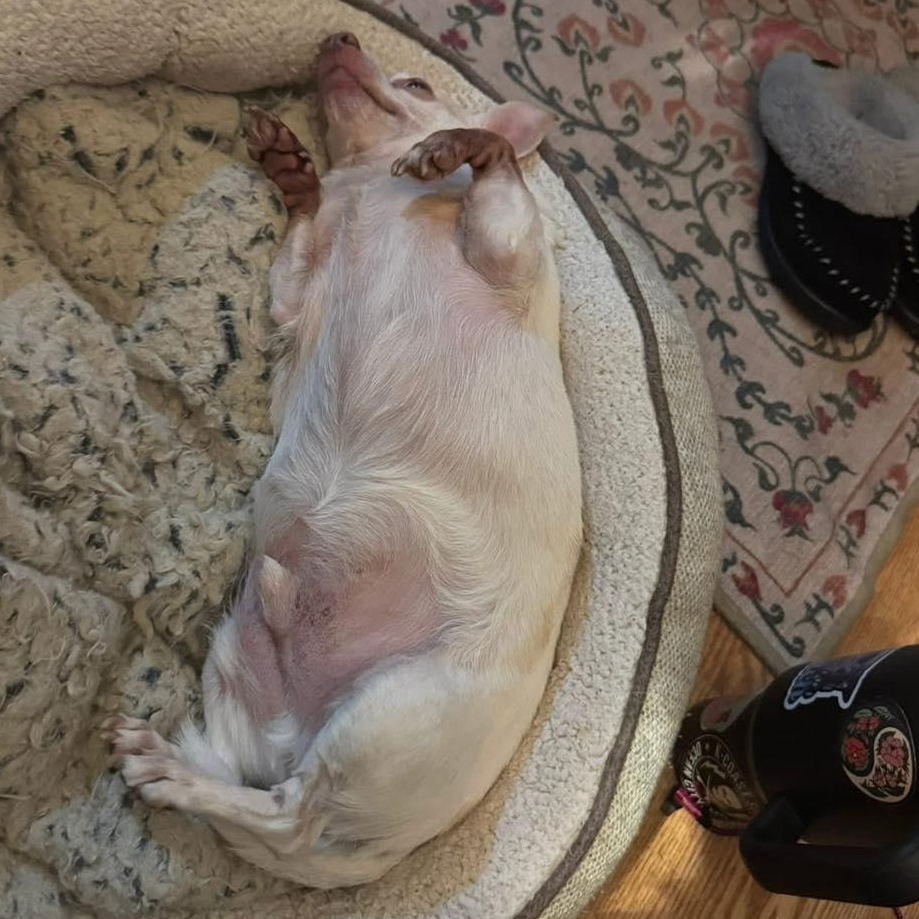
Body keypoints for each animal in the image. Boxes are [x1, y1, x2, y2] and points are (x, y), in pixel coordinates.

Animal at [104, 31, 582, 889]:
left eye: (416, 81)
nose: (338, 36)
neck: (368, 192)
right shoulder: (296, 294)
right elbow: (302, 234)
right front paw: (291, 171)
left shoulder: (510, 252)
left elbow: (498, 160)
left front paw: (446, 147)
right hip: (239, 661)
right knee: (261, 792)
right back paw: (177, 768)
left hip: (386, 714)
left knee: (290, 816)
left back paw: (167, 770)